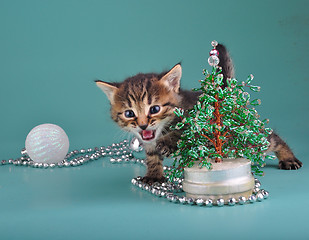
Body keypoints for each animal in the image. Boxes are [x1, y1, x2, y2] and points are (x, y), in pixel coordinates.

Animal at [95, 43, 300, 184]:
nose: (143, 124)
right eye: (129, 113)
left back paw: (288, 158)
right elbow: (152, 157)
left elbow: (183, 131)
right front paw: (154, 174)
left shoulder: (198, 120)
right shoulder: (149, 143)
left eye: (154, 109)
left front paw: (168, 142)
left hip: (243, 137)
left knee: (270, 139)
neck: (161, 130)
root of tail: (223, 94)